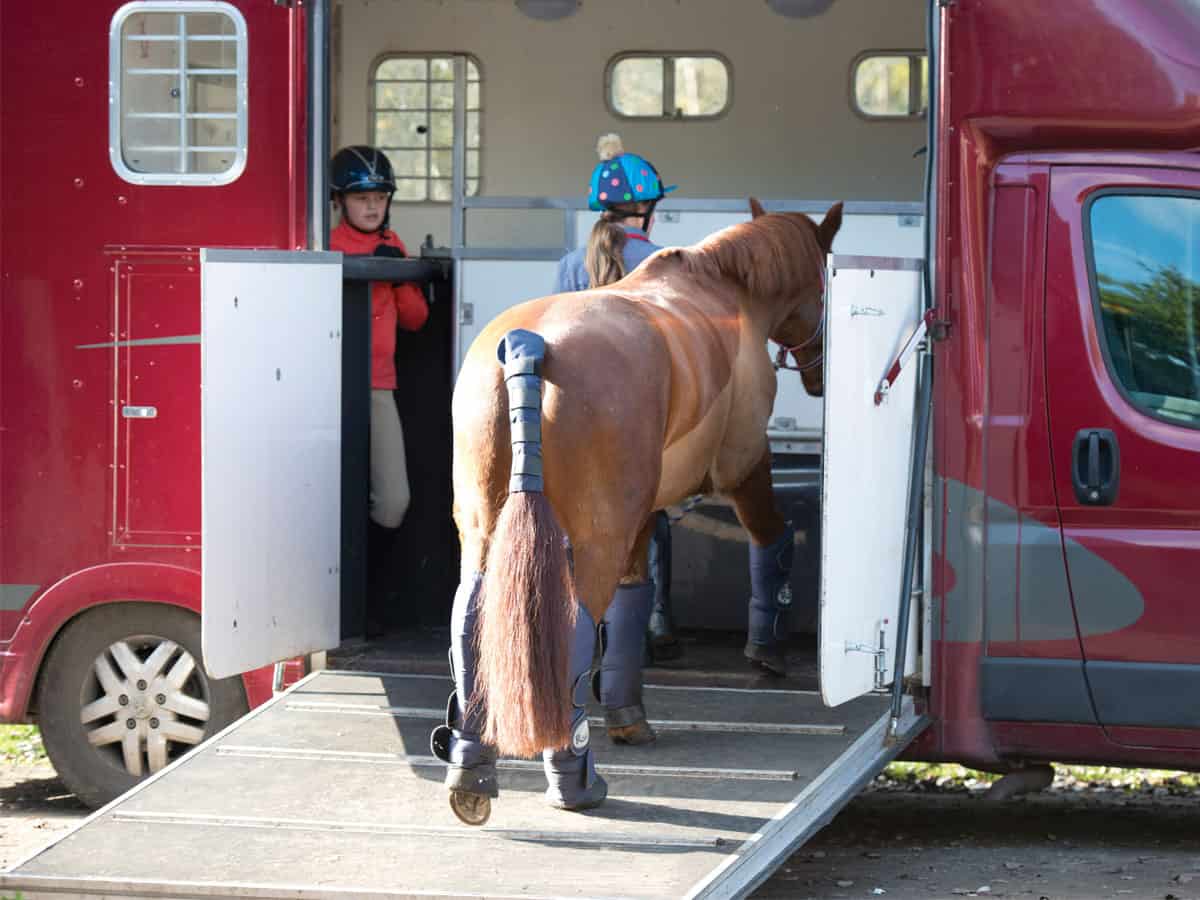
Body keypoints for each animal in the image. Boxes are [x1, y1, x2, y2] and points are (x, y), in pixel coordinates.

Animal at [429, 198, 842, 825]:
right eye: (824, 286)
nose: (821, 379)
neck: (729, 291)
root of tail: (528, 346)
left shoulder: (644, 513)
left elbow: (635, 598)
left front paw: (628, 710)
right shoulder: (745, 464)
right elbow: (769, 541)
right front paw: (766, 646)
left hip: (481, 530)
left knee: (471, 620)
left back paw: (470, 770)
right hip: (594, 539)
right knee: (575, 629)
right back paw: (575, 781)